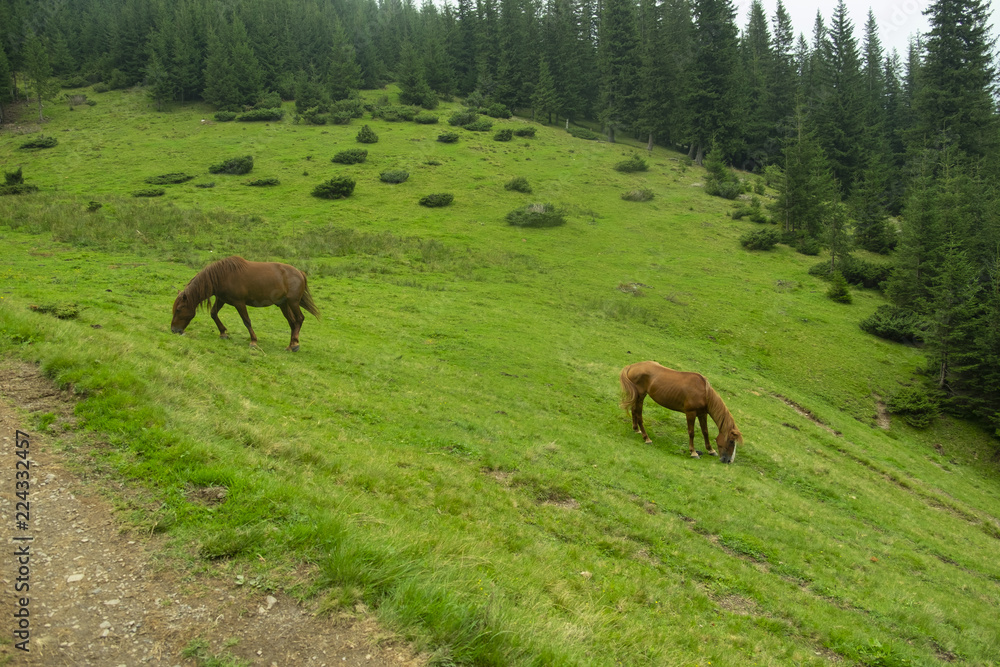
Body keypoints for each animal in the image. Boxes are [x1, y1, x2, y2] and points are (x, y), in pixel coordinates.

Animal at [170, 256, 320, 351]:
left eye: (178, 309)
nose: (174, 330)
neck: (223, 275)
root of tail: (300, 272)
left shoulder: (239, 303)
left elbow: (246, 321)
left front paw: (253, 341)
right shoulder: (221, 299)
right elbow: (213, 314)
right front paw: (223, 333)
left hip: (293, 302)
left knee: (299, 319)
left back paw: (295, 344)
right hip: (283, 304)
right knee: (292, 322)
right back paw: (290, 345)